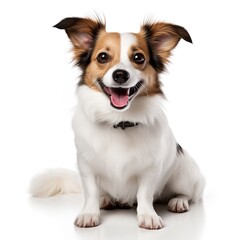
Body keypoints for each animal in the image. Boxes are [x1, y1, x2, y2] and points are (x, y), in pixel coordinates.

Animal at [30, 15, 205, 230]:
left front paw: (147, 215)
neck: (118, 121)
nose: (120, 74)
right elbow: (91, 191)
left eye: (138, 58)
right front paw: (90, 213)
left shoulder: (151, 169)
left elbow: (144, 193)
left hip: (185, 174)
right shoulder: (86, 165)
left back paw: (178, 201)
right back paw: (106, 199)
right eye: (103, 57)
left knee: (189, 194)